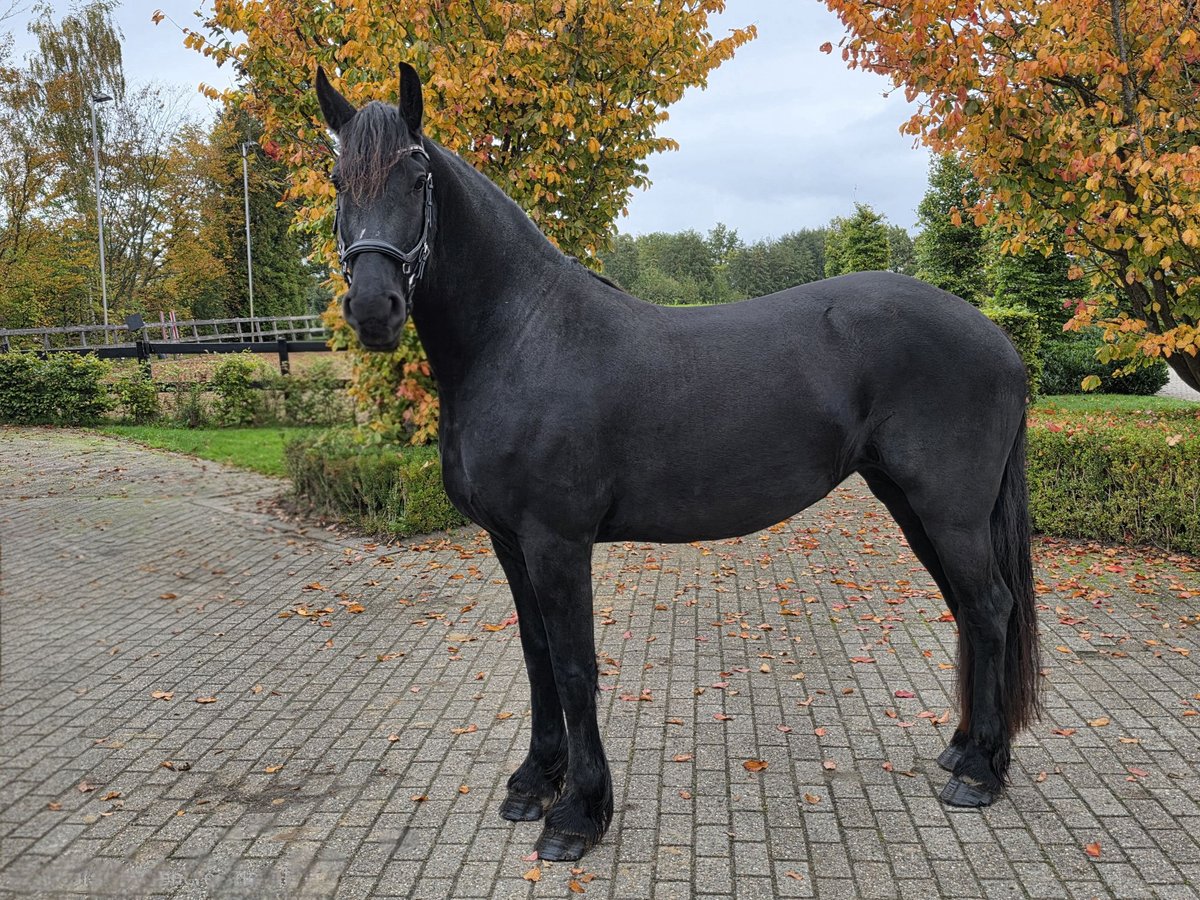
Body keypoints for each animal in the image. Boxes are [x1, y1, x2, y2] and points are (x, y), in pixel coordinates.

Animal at [314, 63, 1041, 862]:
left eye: (416, 177)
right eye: (338, 178)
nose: (374, 308)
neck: (521, 337)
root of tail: (998, 340)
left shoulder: (556, 542)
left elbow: (573, 666)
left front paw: (579, 814)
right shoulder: (509, 544)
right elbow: (537, 660)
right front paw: (535, 783)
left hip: (952, 511)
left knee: (990, 607)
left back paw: (980, 774)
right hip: (912, 505)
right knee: (970, 610)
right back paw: (965, 747)